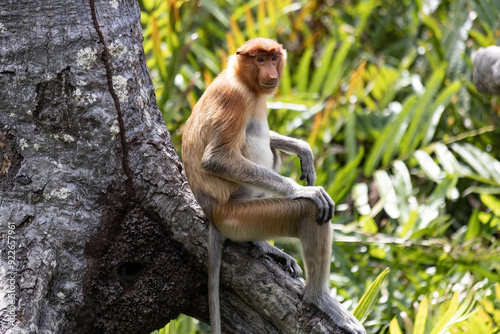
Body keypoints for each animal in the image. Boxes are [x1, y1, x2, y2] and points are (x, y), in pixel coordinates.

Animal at [182, 37, 366, 334]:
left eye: (272, 58)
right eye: (259, 60)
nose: (270, 73)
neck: (243, 81)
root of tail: (212, 212)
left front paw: (303, 150)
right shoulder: (233, 99)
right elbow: (216, 159)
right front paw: (305, 191)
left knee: (273, 151)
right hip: (241, 216)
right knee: (307, 213)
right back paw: (318, 298)